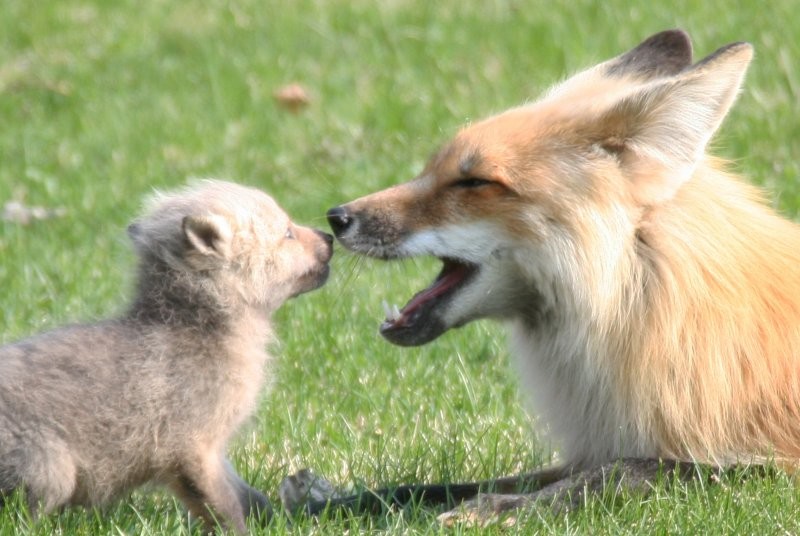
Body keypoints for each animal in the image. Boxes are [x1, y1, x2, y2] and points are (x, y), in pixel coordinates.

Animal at [318, 30, 800, 520]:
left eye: (474, 182)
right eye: (430, 170)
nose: (336, 218)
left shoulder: (770, 470)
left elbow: (622, 472)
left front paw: (497, 509)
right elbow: (438, 487)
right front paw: (342, 502)